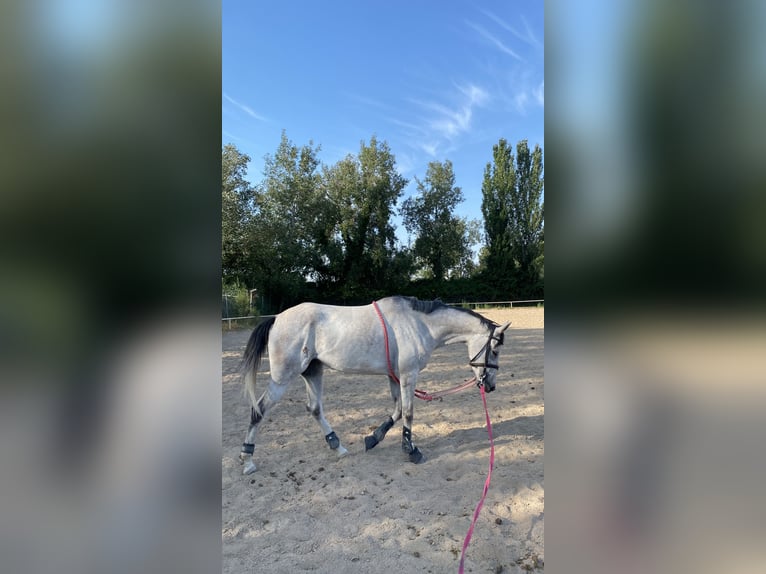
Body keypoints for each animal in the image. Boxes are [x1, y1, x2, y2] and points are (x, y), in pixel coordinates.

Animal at [238, 295, 510, 474]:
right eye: (495, 350)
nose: (490, 386)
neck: (418, 324)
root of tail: (277, 319)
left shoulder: (394, 376)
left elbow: (397, 412)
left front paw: (373, 438)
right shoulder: (408, 375)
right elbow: (408, 412)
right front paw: (411, 450)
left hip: (313, 372)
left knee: (314, 409)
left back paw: (337, 446)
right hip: (282, 378)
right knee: (258, 410)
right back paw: (247, 459)